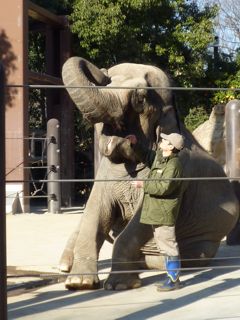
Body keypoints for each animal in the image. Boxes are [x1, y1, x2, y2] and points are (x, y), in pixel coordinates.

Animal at [59, 56, 239, 292]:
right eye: (106, 83)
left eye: (140, 98)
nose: (102, 72)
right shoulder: (104, 173)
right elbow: (94, 212)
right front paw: (79, 283)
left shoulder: (183, 172)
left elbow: (142, 219)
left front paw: (119, 285)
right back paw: (64, 266)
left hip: (205, 242)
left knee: (179, 256)